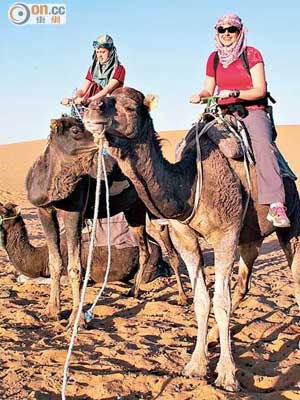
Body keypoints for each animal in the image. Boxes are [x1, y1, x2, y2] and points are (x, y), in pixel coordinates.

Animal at [24, 117, 186, 326]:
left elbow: (75, 267)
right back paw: (133, 292)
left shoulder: (75, 210)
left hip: (153, 207)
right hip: (134, 210)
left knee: (170, 249)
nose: (102, 136)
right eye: (75, 130)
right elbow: (55, 263)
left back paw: (182, 297)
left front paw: (77, 320)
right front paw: (51, 312)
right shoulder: (44, 211)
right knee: (145, 249)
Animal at [82, 87, 300, 390]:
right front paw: (196, 365)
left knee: (295, 275)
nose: (91, 108)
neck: (190, 184)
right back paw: (215, 337)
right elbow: (202, 300)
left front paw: (227, 375)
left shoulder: (225, 235)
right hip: (251, 237)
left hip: (291, 218)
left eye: (130, 106)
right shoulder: (184, 237)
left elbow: (221, 301)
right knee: (244, 284)